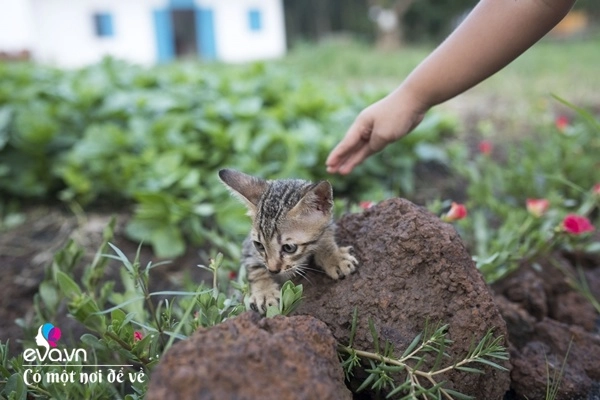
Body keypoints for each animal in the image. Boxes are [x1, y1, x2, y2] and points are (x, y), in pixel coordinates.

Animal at [219, 168, 356, 312]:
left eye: (289, 248)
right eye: (259, 245)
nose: (272, 270)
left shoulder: (328, 224)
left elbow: (326, 235)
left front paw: (334, 257)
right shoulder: (248, 247)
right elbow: (254, 266)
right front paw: (265, 292)